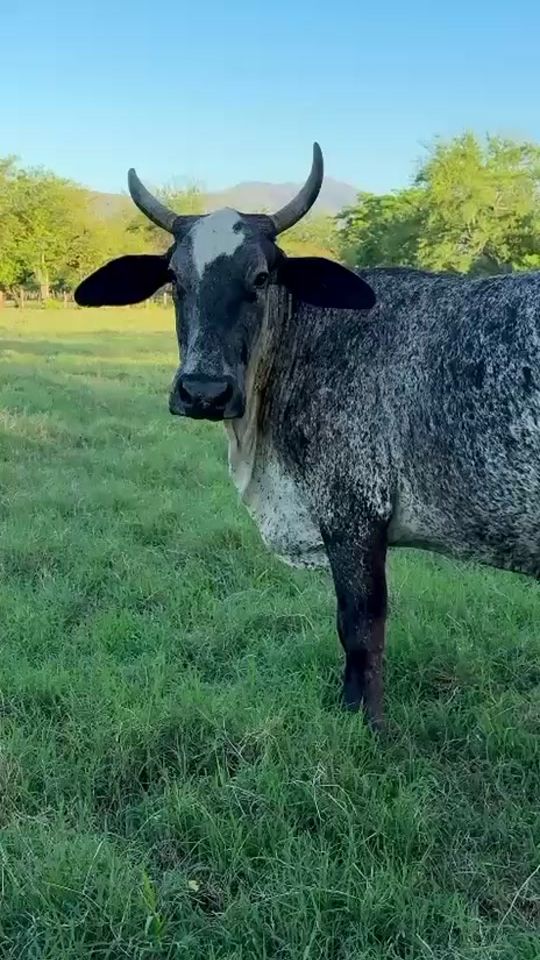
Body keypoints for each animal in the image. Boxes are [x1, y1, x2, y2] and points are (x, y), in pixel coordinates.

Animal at [75, 143, 540, 730]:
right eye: (175, 277)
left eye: (260, 277)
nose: (203, 391)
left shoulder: (353, 515)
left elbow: (360, 629)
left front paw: (365, 723)